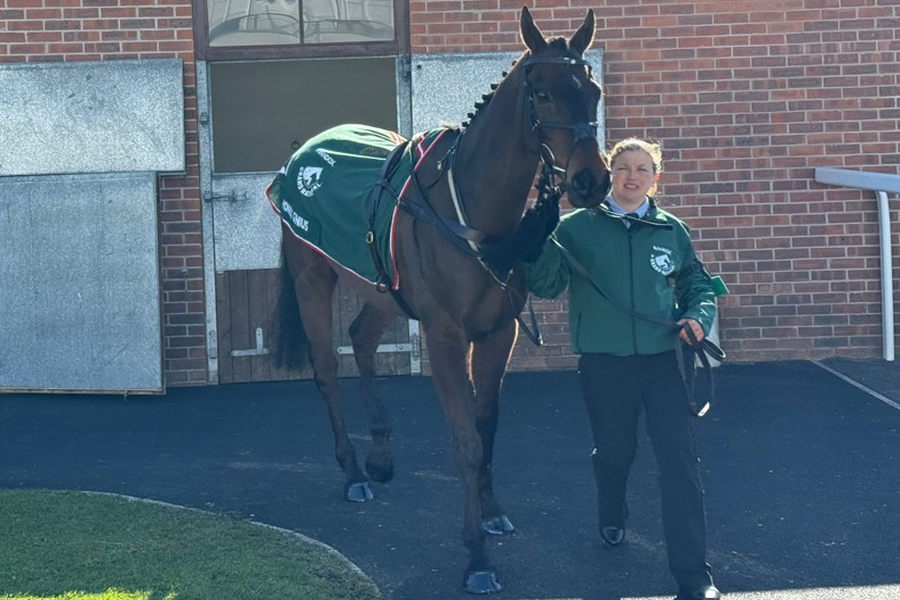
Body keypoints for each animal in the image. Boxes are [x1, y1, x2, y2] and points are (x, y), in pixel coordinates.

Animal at [267, 7, 609, 594]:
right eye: (542, 93)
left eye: (593, 90)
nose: (593, 180)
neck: (472, 211)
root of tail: (301, 158)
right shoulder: (446, 335)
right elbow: (466, 439)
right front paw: (476, 558)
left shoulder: (499, 331)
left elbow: (487, 423)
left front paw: (491, 513)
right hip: (313, 277)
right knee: (327, 367)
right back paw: (353, 471)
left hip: (380, 288)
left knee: (361, 340)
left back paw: (380, 455)